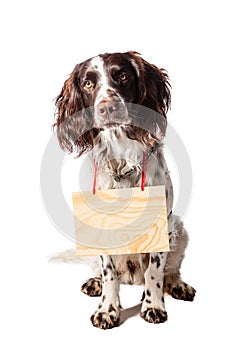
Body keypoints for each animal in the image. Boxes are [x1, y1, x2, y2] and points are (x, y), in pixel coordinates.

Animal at [53, 51, 196, 328]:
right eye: (88, 83)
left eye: (122, 76)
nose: (107, 107)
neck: (120, 156)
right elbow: (109, 273)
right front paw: (108, 309)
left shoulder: (161, 223)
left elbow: (155, 271)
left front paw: (153, 305)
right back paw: (95, 283)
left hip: (179, 229)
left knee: (171, 269)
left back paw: (177, 285)